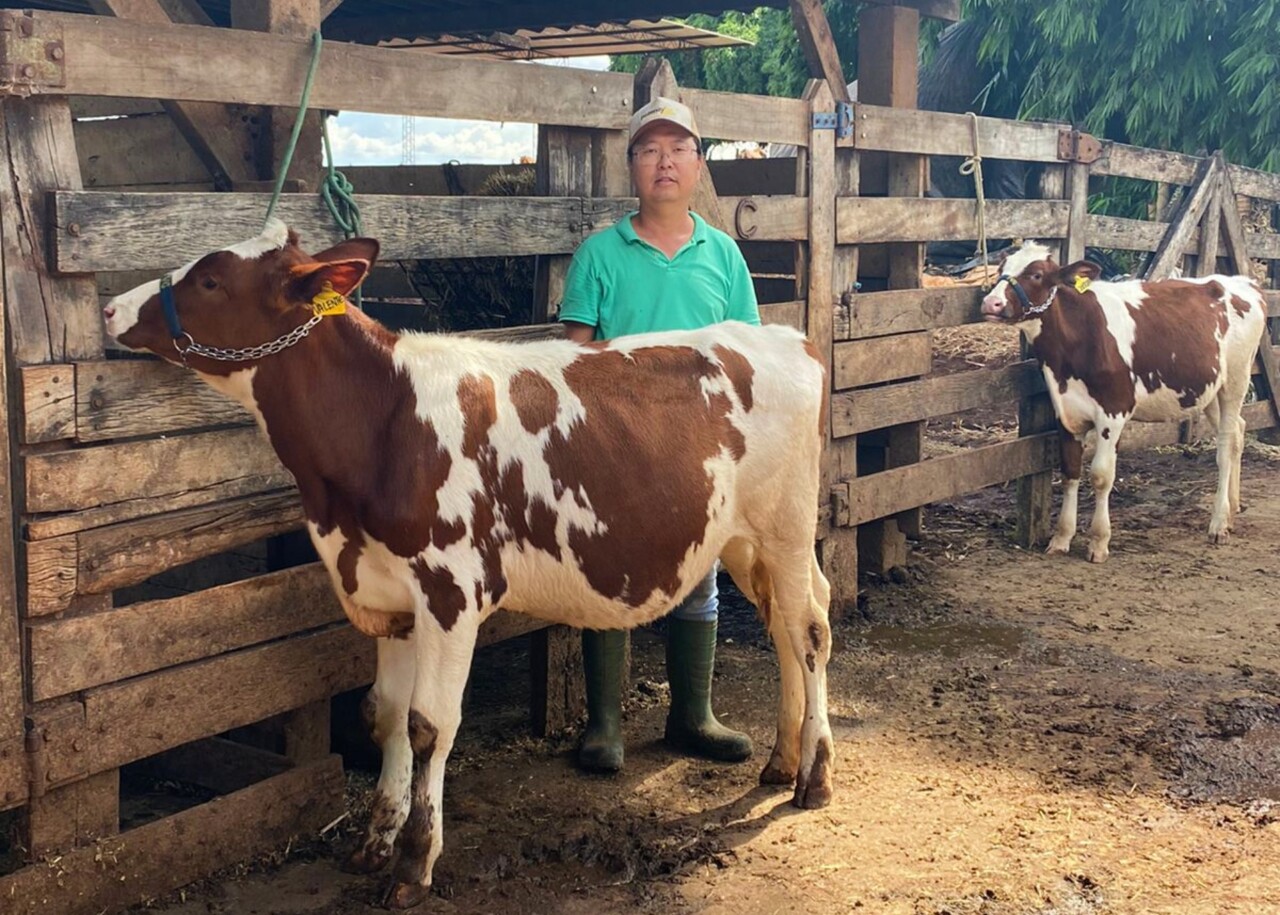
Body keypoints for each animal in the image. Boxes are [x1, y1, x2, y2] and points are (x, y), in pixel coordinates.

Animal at [102, 220, 839, 911]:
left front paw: (414, 863)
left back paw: (814, 774)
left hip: (787, 524)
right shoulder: (390, 593)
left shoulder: (451, 591)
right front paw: (375, 840)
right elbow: (384, 714)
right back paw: (781, 759)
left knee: (808, 632)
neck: (379, 428)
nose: (111, 308)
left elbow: (429, 726)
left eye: (210, 280)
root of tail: (787, 338)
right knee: (783, 625)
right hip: (742, 539)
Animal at [977, 239, 1269, 563]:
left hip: (1236, 380)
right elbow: (1070, 472)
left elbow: (1101, 476)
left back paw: (1218, 524)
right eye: (1002, 269)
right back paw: (1232, 509)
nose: (991, 303)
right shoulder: (1066, 413)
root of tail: (1242, 283)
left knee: (1226, 445)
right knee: (1239, 431)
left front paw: (1098, 541)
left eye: (1037, 274)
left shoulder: (1113, 412)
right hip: (1209, 390)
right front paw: (1061, 538)